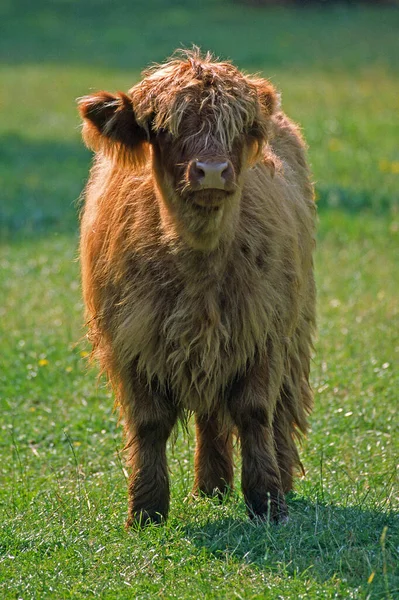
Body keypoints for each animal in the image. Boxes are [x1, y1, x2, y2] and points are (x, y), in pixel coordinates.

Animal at [77, 49, 316, 524]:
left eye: (239, 127)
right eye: (162, 128)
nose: (212, 171)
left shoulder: (264, 330)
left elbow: (254, 410)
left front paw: (267, 502)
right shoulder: (130, 338)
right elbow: (149, 422)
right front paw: (146, 510)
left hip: (295, 330)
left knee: (279, 410)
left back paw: (278, 479)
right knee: (210, 413)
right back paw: (211, 486)